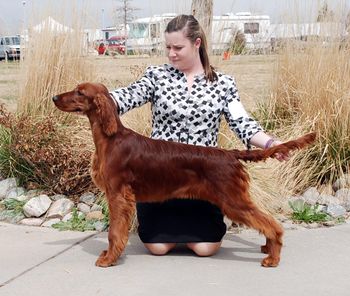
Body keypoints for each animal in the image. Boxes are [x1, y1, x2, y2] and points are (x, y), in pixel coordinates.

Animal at [52, 82, 318, 268]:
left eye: (79, 92)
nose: (54, 97)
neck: (110, 138)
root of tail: (230, 154)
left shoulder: (118, 195)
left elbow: (114, 232)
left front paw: (108, 259)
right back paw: (268, 249)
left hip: (233, 200)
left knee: (271, 224)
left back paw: (273, 258)